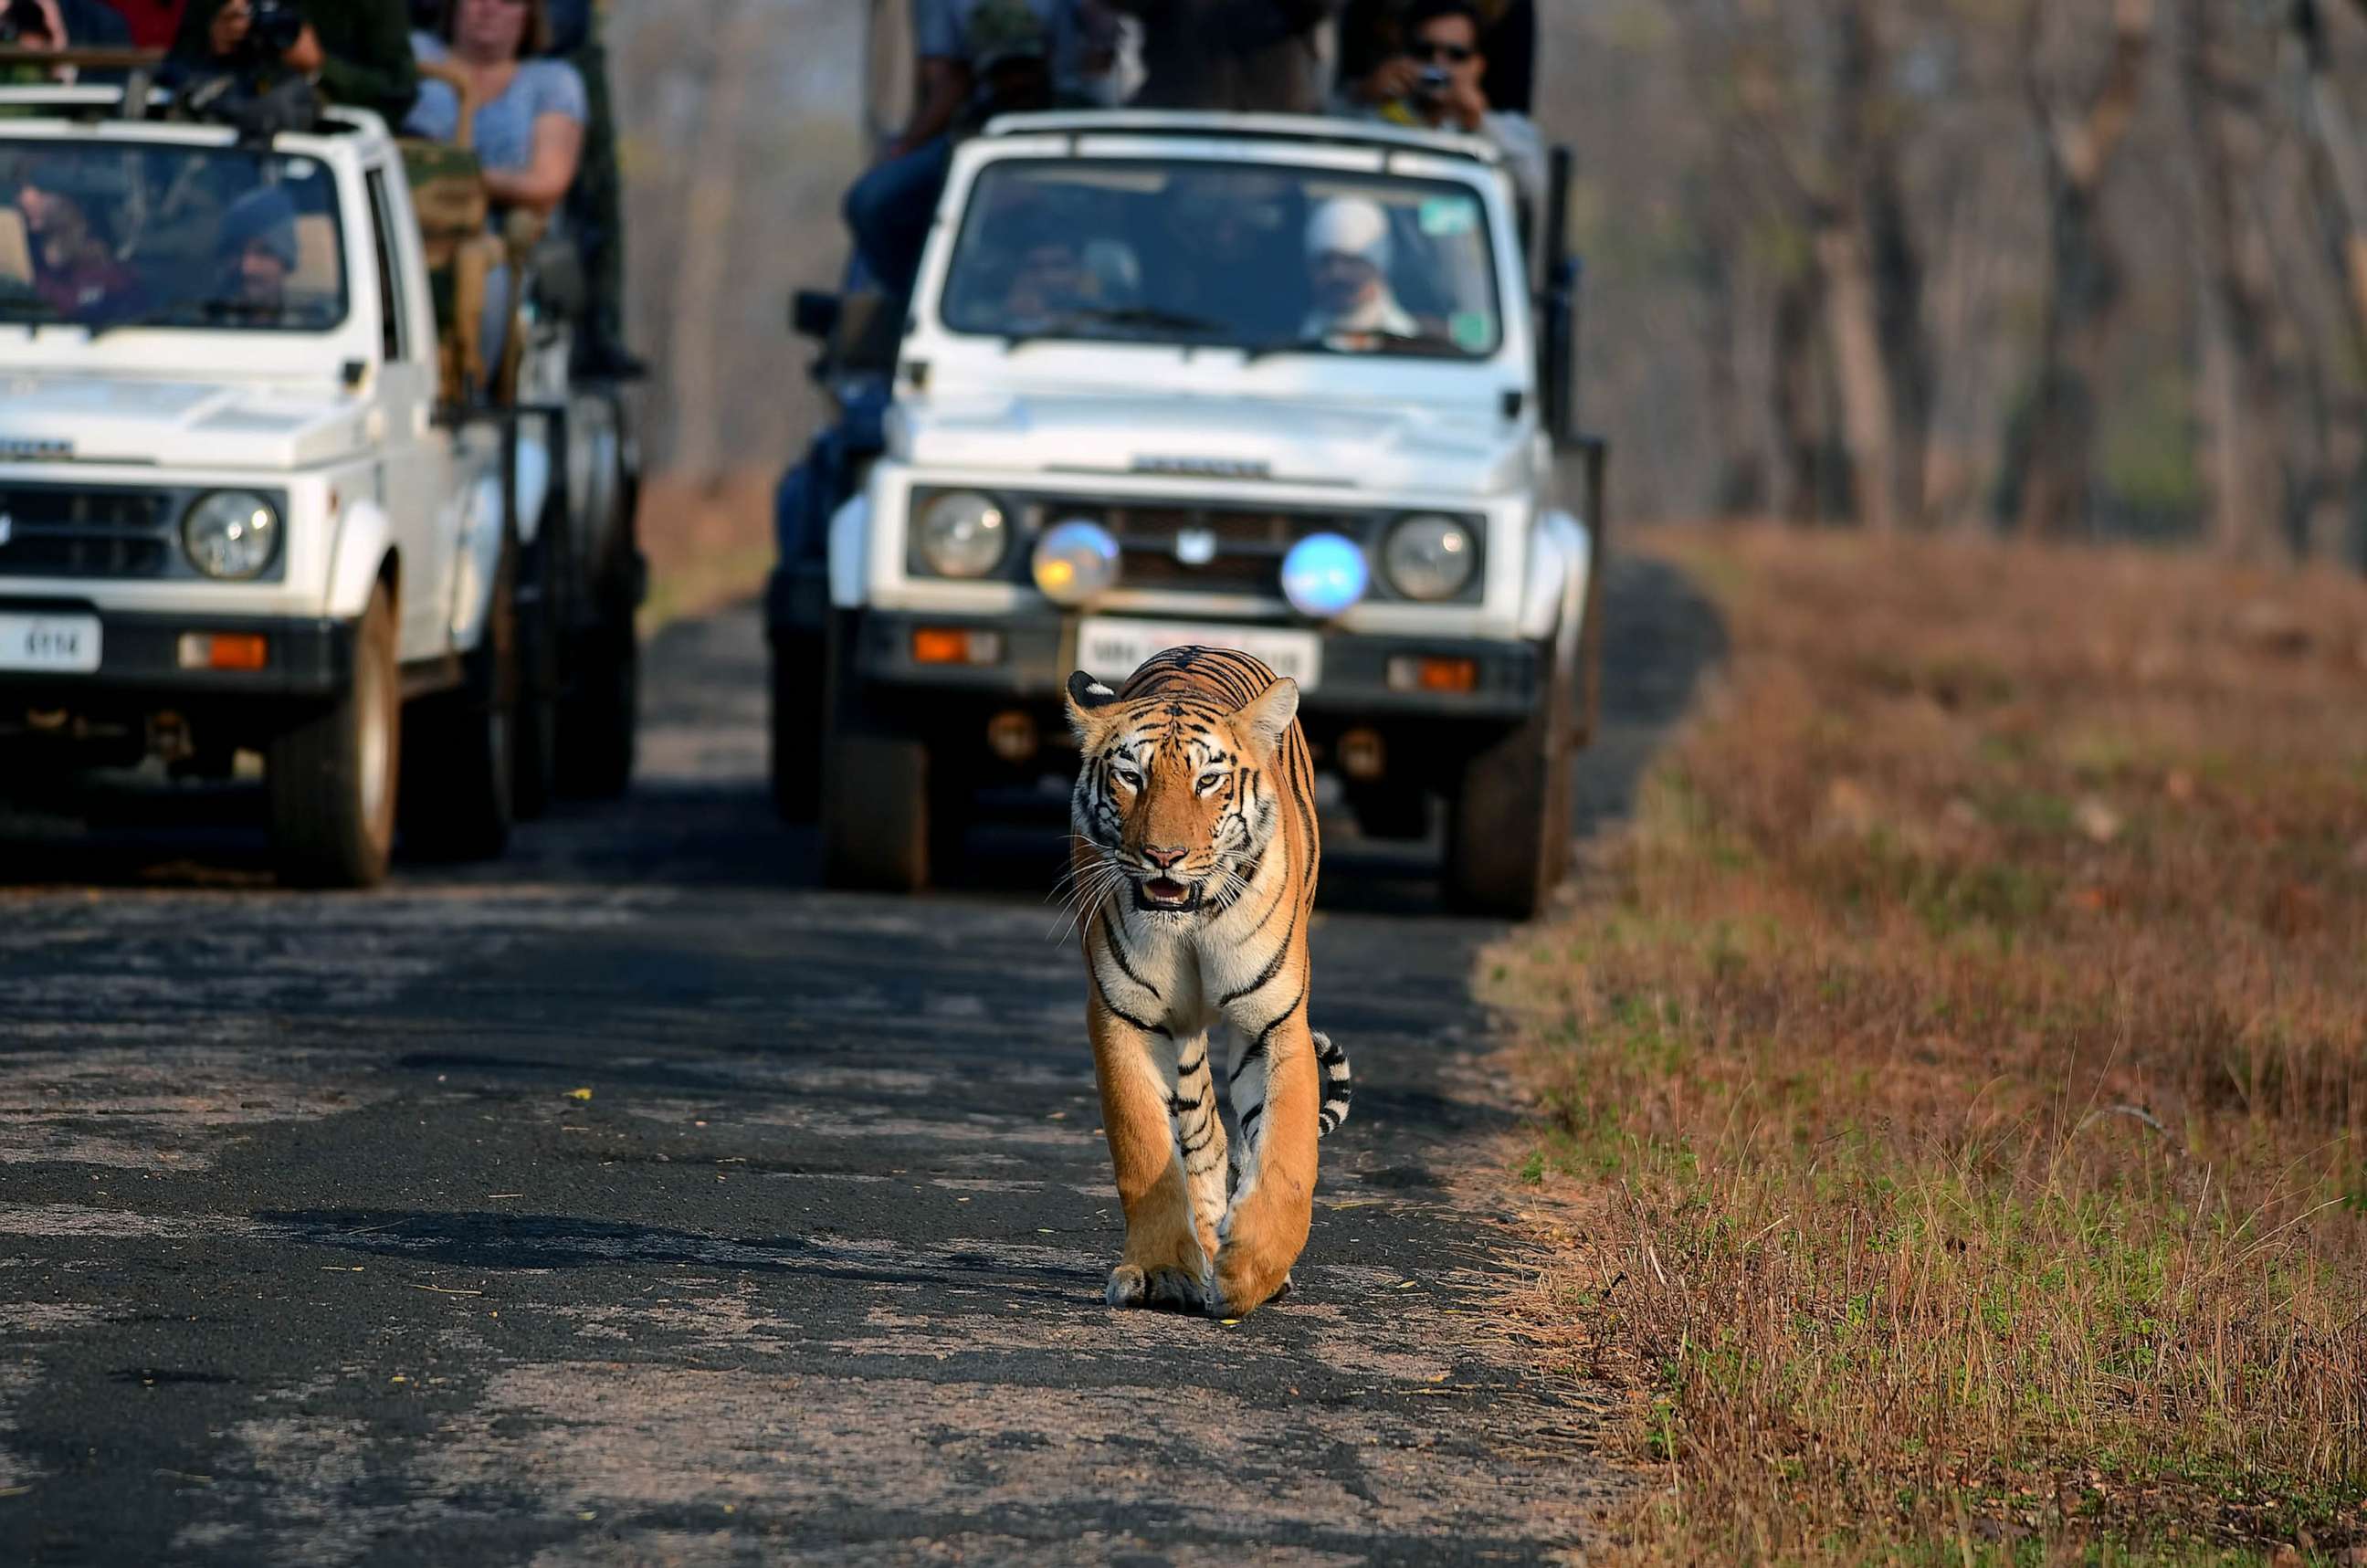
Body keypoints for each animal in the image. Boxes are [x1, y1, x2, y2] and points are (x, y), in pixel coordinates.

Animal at [1062, 645, 1353, 1319]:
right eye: (1132, 777)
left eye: (1207, 781)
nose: (1164, 856)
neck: (1189, 917)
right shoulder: (1123, 1015)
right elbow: (1144, 1147)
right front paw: (1162, 1271)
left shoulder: (1275, 1022)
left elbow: (1287, 1157)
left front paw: (1250, 1272)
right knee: (1204, 1134)